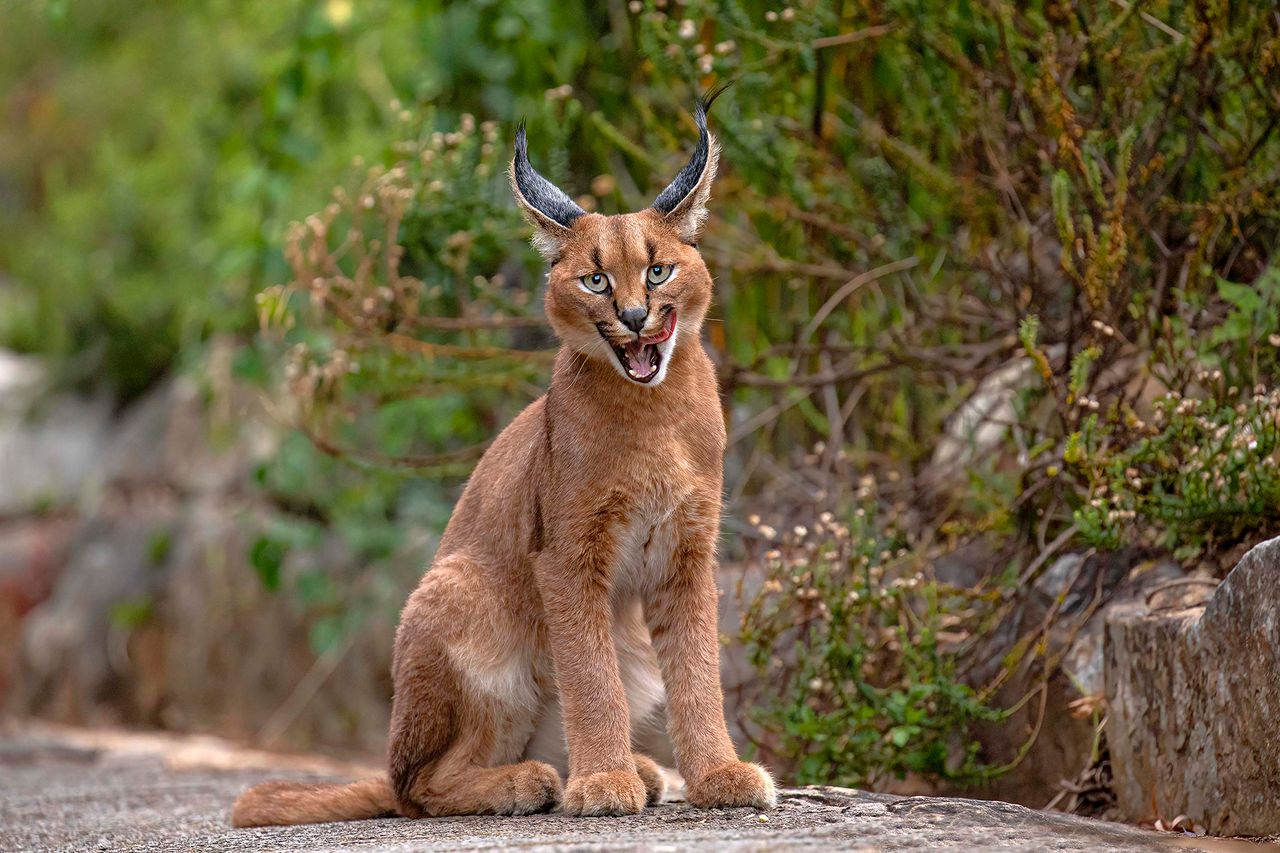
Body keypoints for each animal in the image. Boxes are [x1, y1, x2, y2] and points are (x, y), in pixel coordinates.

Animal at [231, 94, 773, 824]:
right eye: (595, 280)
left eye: (658, 270)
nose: (635, 317)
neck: (652, 410)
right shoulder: (568, 554)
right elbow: (589, 672)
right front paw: (604, 781)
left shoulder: (687, 551)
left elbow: (696, 670)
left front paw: (716, 773)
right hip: (461, 592)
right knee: (417, 785)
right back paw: (533, 780)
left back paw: (620, 767)